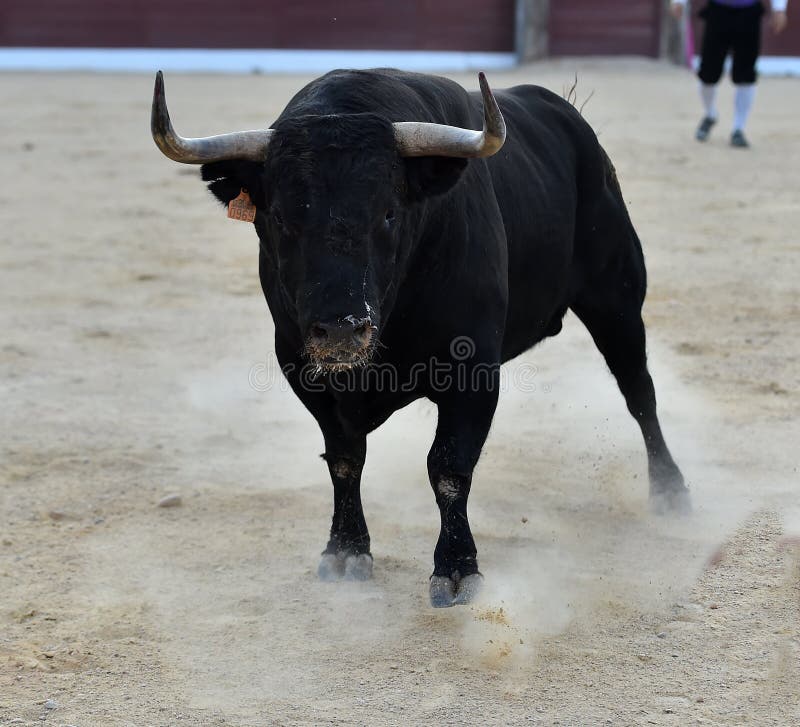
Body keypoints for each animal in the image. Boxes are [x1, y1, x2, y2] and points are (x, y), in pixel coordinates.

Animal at [151, 68, 690, 607]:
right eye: (280, 218)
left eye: (389, 213)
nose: (342, 329)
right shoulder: (303, 368)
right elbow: (344, 459)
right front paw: (345, 550)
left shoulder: (473, 370)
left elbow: (448, 466)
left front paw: (456, 567)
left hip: (616, 299)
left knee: (640, 393)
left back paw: (670, 491)